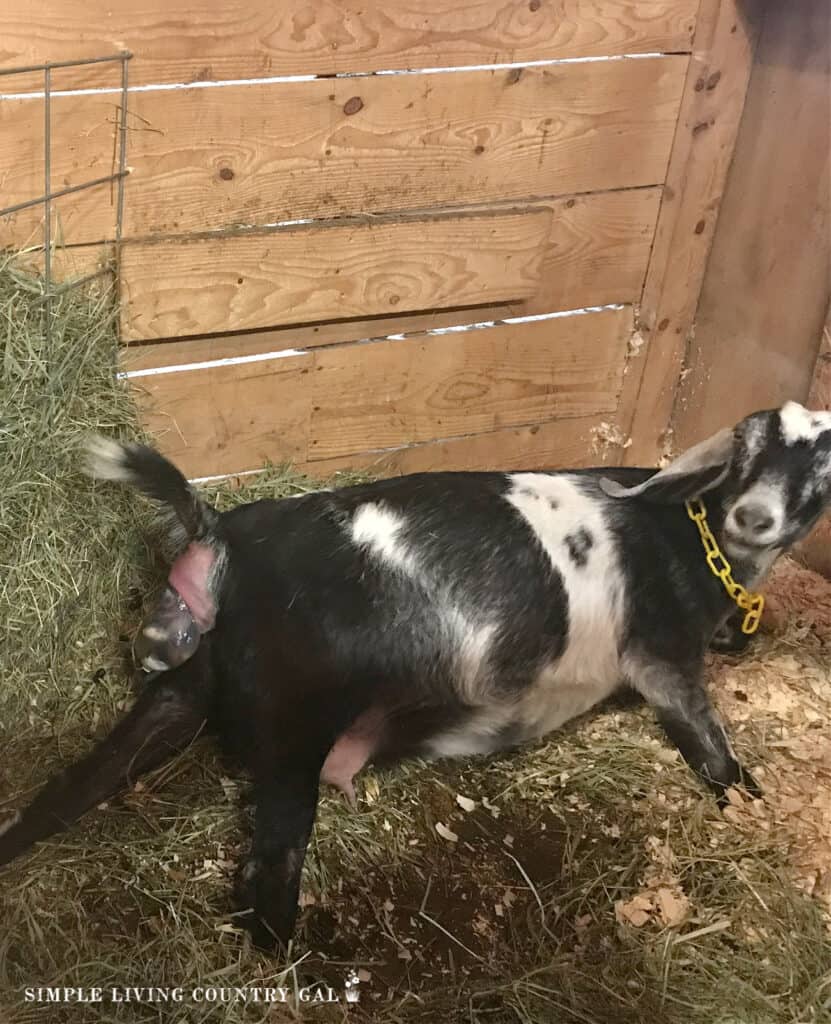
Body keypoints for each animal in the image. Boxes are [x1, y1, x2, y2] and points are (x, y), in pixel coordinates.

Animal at [1, 403, 831, 946]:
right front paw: (752, 805)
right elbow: (707, 745)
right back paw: (295, 957)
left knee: (71, 786)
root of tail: (223, 540)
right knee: (269, 871)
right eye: (746, 448)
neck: (698, 538)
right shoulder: (660, 650)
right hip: (296, 713)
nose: (754, 515)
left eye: (824, 459)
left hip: (185, 687)